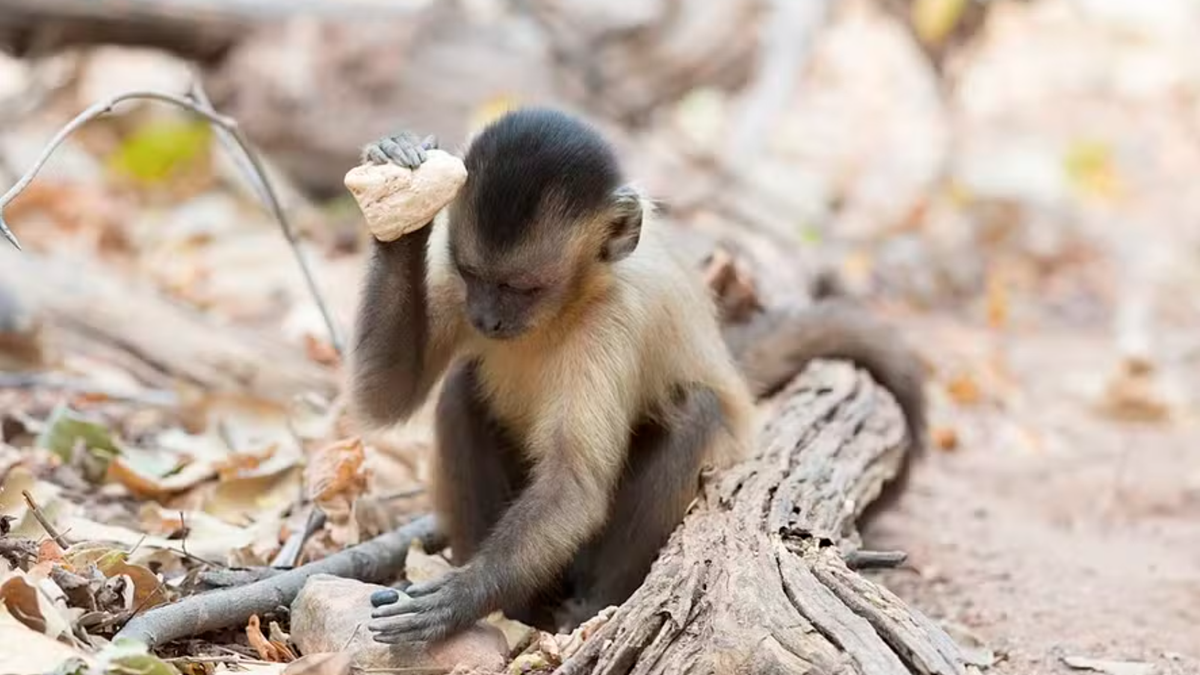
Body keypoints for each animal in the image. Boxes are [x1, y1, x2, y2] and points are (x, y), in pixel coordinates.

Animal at [348, 109, 926, 638]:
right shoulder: (453, 285)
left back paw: (587, 606)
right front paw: (401, 193)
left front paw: (460, 597)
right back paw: (520, 610)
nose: (485, 319)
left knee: (695, 409)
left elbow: (574, 488)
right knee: (462, 390)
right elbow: (386, 396)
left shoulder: (614, 321)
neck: (572, 303)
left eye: (522, 288)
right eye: (474, 276)